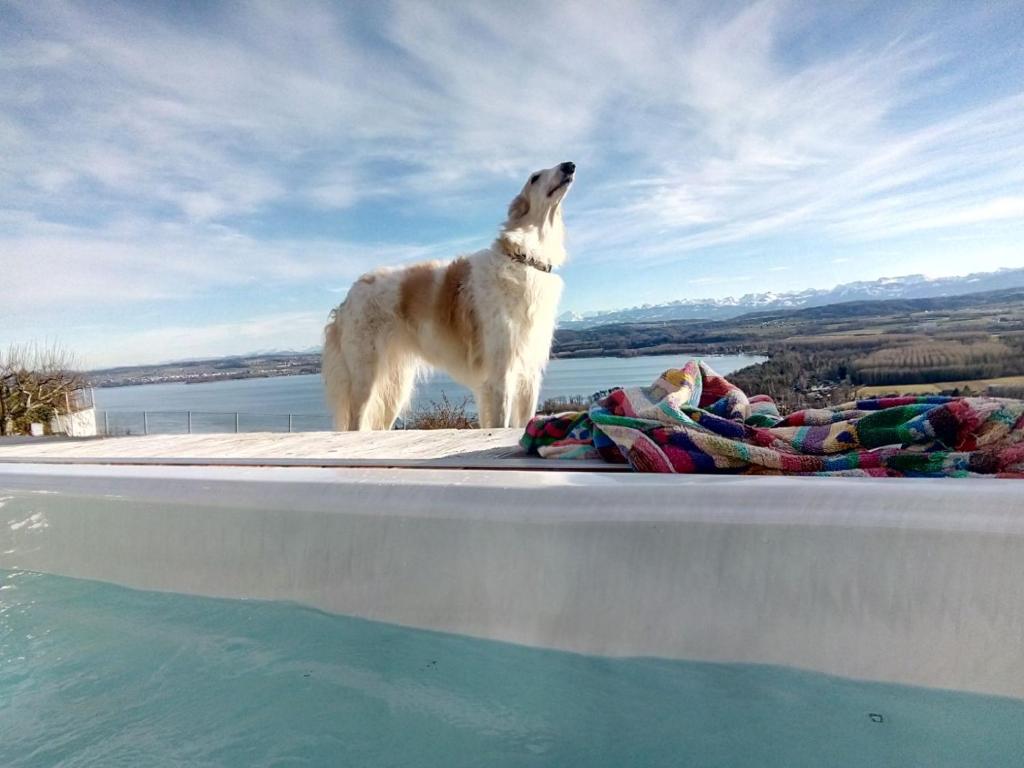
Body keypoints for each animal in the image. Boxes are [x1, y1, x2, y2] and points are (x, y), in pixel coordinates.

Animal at [321, 160, 577, 434]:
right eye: (534, 178)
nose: (569, 165)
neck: (524, 258)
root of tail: (347, 298)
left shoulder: (528, 373)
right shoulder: (501, 372)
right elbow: (500, 424)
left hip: (393, 387)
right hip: (365, 375)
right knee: (354, 425)